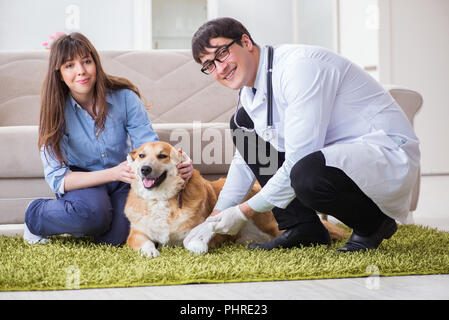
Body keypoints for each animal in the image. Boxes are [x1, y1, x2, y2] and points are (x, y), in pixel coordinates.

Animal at [124, 142, 348, 258]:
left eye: (162, 156)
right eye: (142, 156)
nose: (145, 169)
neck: (161, 199)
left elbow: (196, 238)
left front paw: (197, 245)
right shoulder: (136, 234)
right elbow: (144, 242)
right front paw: (150, 251)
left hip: (269, 223)